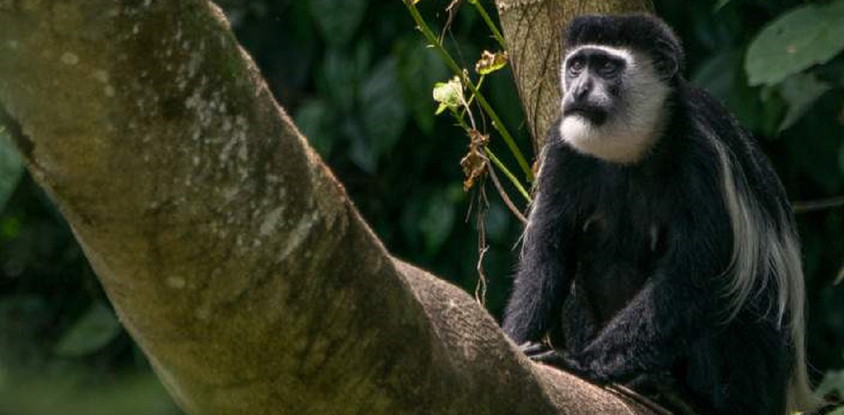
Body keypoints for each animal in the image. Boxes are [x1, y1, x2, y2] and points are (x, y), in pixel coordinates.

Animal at [501, 14, 818, 415]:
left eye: (606, 67)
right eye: (576, 66)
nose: (579, 91)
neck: (633, 150)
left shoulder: (703, 158)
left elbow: (692, 273)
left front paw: (577, 363)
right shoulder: (563, 150)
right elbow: (548, 255)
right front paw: (515, 343)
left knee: (729, 299)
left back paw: (683, 396)